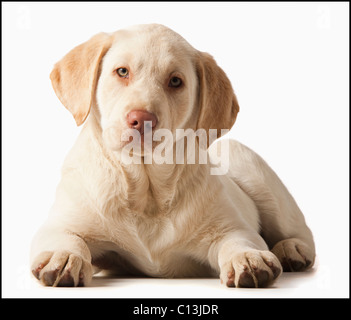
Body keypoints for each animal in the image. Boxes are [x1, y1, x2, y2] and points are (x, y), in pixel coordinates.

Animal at [30, 23, 316, 288]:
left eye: (175, 81)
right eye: (122, 72)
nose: (141, 119)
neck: (148, 192)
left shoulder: (234, 227)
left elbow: (238, 239)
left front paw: (245, 257)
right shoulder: (60, 223)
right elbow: (67, 237)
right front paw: (65, 256)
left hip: (249, 168)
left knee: (298, 231)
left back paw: (291, 249)